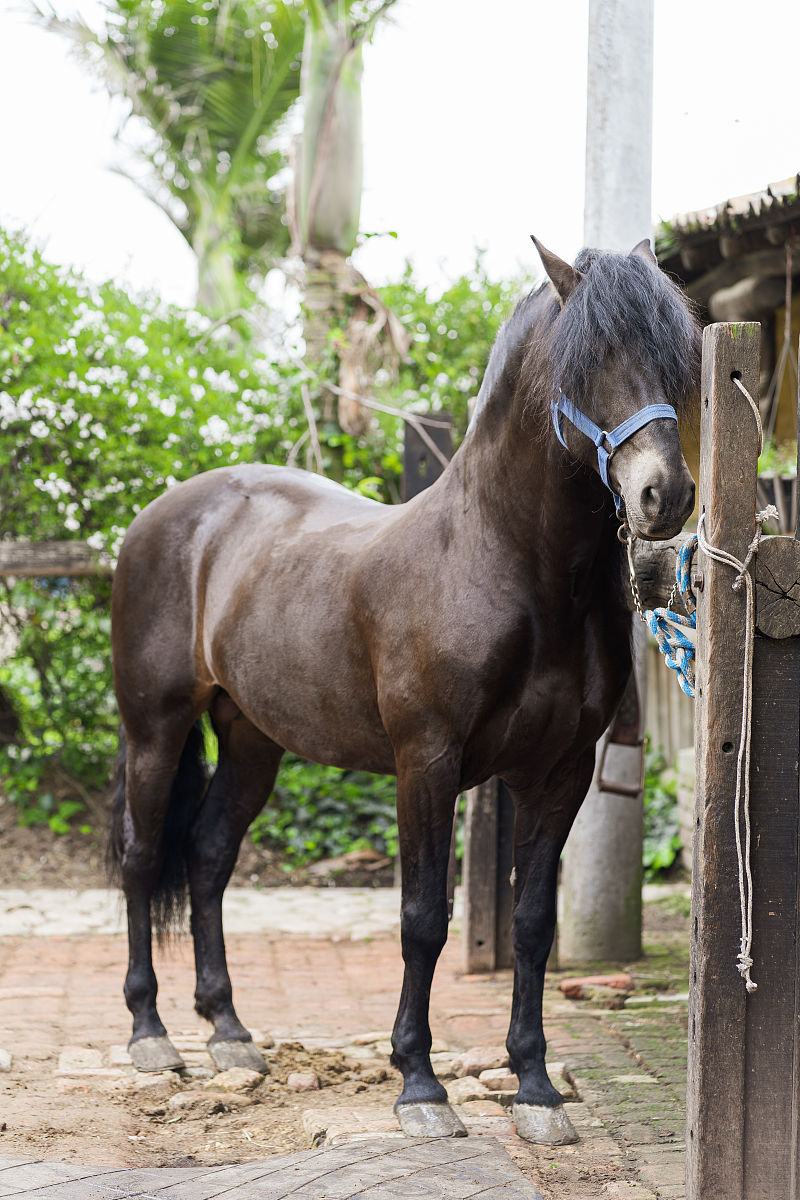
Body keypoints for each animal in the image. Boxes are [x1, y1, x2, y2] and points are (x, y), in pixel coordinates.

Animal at [109, 237, 700, 1145]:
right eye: (594, 355)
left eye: (678, 355)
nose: (663, 497)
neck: (508, 565)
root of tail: (163, 516)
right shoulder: (428, 762)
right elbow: (423, 920)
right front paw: (419, 1084)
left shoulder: (559, 771)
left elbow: (533, 926)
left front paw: (535, 1088)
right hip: (156, 729)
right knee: (143, 860)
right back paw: (151, 1034)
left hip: (251, 739)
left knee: (206, 857)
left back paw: (231, 1034)